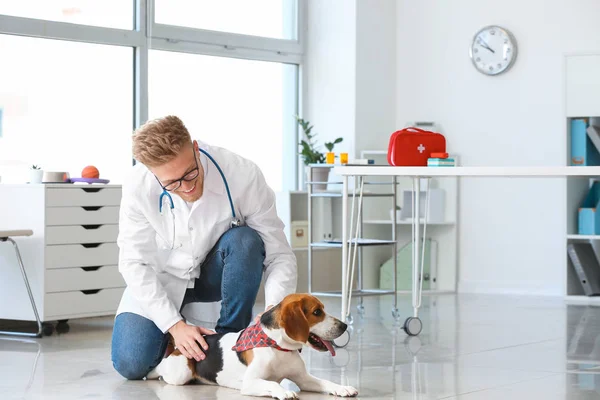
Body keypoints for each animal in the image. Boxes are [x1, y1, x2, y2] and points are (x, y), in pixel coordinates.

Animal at [147, 292, 358, 398]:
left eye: (322, 309)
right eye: (316, 312)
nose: (344, 325)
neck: (278, 348)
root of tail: (177, 348)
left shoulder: (303, 379)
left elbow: (325, 382)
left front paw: (342, 388)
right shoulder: (250, 382)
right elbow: (272, 383)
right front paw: (284, 391)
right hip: (180, 373)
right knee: (162, 371)